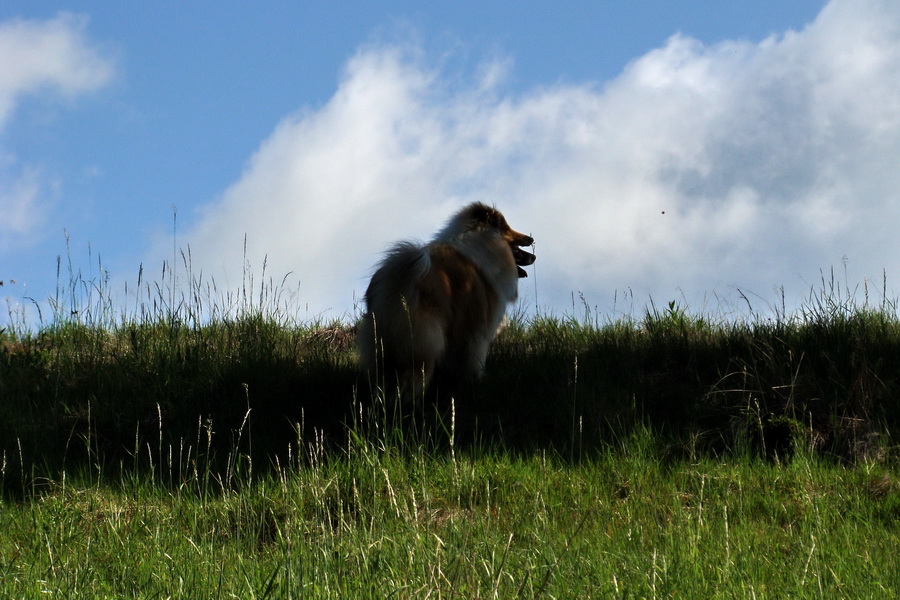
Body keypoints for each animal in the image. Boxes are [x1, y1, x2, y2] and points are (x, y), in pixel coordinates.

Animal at [356, 203, 536, 404]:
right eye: (507, 228)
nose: (531, 238)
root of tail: (397, 277)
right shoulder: (479, 331)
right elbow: (475, 361)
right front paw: (476, 382)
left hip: (381, 344)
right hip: (423, 340)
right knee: (413, 376)